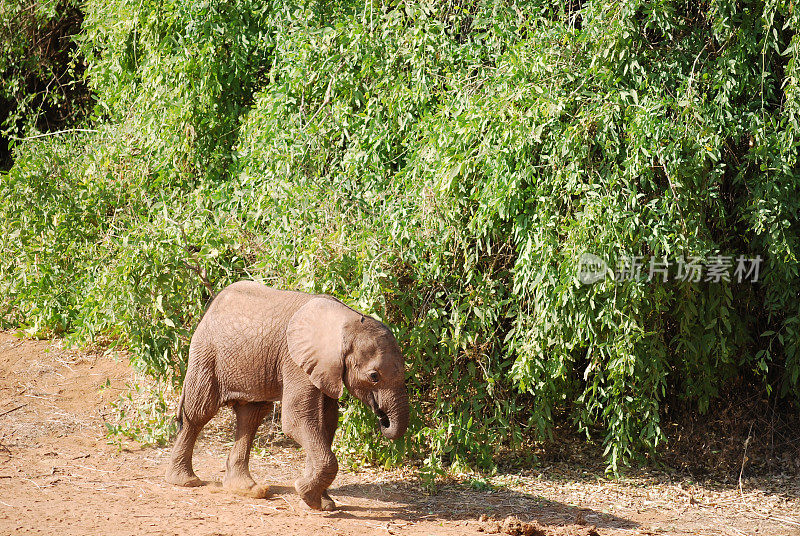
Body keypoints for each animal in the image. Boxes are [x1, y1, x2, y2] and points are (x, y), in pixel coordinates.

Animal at [166, 280, 410, 510]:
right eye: (374, 376)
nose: (382, 418)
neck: (347, 321)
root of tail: (212, 305)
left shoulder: (324, 367)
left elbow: (326, 422)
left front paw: (320, 503)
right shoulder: (296, 361)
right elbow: (297, 420)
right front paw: (306, 494)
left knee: (251, 415)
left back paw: (247, 489)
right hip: (206, 353)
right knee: (199, 411)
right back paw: (185, 481)